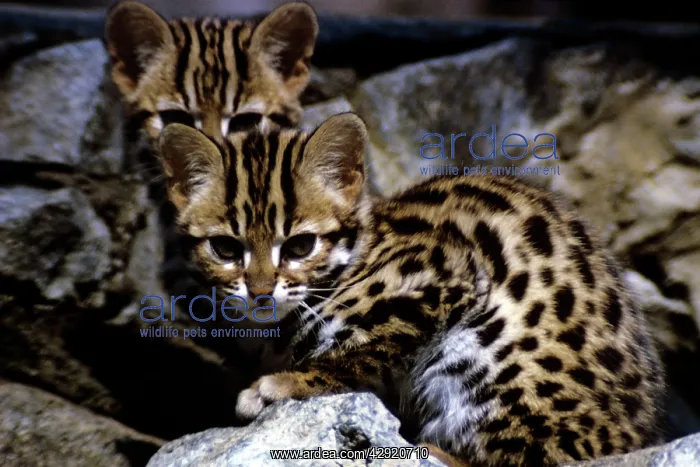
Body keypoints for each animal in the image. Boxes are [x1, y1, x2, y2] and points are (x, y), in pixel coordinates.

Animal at [155, 112, 665, 466]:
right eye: (225, 247)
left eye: (301, 246)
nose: (260, 292)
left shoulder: (445, 276)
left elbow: (359, 354)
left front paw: (281, 385)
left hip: (496, 353)